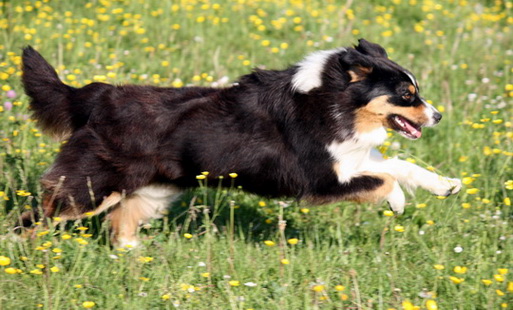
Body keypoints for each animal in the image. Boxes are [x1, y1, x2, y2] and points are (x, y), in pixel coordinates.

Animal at [19, 39, 460, 247]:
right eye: (406, 94)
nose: (439, 116)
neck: (333, 101)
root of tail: (97, 95)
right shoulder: (318, 180)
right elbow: (384, 179)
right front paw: (398, 200)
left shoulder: (350, 160)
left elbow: (400, 166)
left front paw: (446, 186)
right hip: (90, 187)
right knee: (34, 218)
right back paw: (23, 255)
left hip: (152, 191)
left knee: (120, 227)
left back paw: (138, 257)